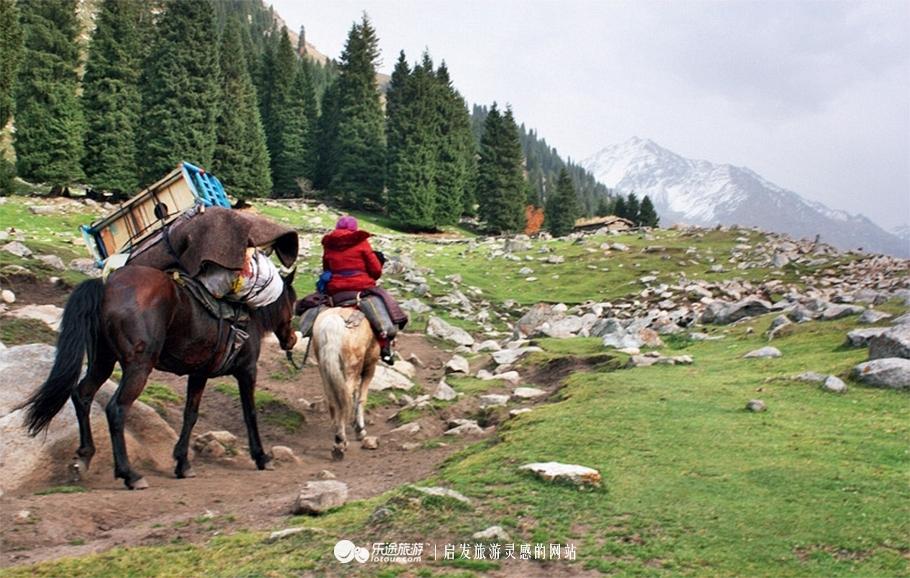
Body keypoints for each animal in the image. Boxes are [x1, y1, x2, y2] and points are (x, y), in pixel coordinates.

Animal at [21, 264, 298, 486]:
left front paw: (182, 464)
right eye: (292, 303)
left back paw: (84, 457)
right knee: (116, 409)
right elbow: (250, 413)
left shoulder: (199, 373)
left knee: (82, 395)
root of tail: (107, 286)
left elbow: (190, 415)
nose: (292, 339)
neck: (251, 316)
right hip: (139, 366)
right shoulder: (247, 370)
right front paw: (262, 457)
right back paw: (130, 475)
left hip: (103, 361)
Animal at [312, 306, 380, 460]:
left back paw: (337, 435)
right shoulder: (370, 366)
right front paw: (360, 430)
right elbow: (361, 398)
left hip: (324, 368)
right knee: (344, 398)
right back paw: (340, 442)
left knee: (333, 398)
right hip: (352, 367)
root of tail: (332, 323)